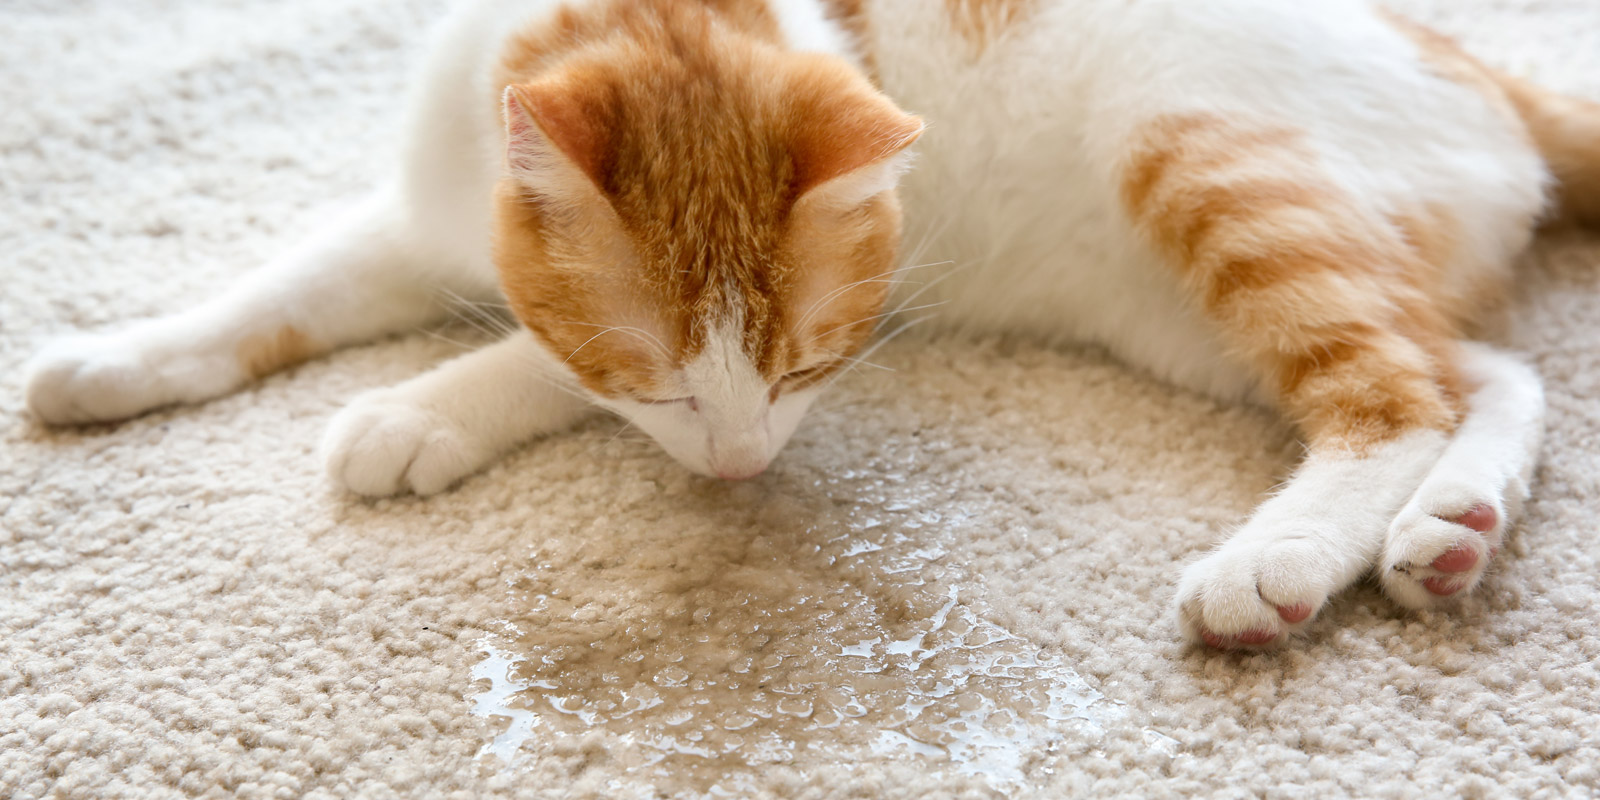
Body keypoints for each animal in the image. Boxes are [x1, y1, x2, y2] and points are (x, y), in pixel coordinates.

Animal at [25, 1, 1600, 649]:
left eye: (797, 369)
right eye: (676, 391)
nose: (737, 470)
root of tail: (1480, 70)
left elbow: (537, 354)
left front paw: (419, 408)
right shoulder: (418, 211)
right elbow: (284, 286)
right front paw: (115, 354)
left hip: (1201, 164)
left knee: (1394, 391)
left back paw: (1278, 560)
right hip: (1186, 310)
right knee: (1485, 370)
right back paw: (1449, 528)